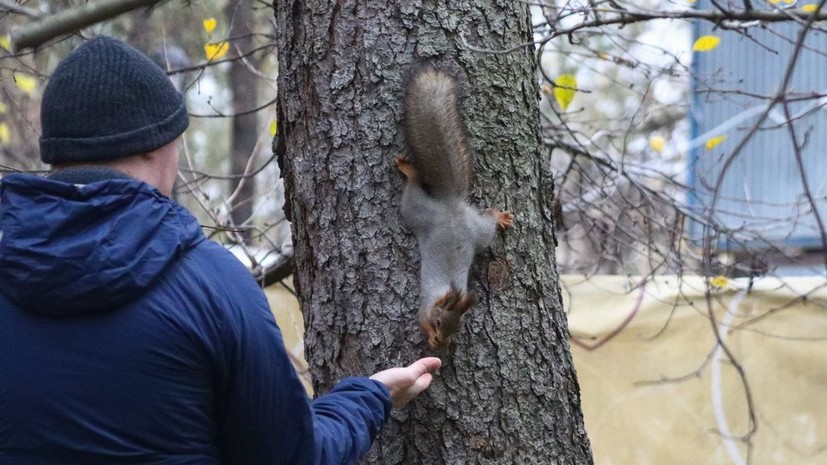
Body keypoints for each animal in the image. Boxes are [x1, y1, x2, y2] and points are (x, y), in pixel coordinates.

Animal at [398, 65, 516, 348]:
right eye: (440, 321)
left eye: (457, 326)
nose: (442, 340)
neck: (446, 291)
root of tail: (451, 204)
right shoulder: (425, 307)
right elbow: (421, 320)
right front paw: (431, 338)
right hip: (420, 211)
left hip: (468, 230)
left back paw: (500, 217)